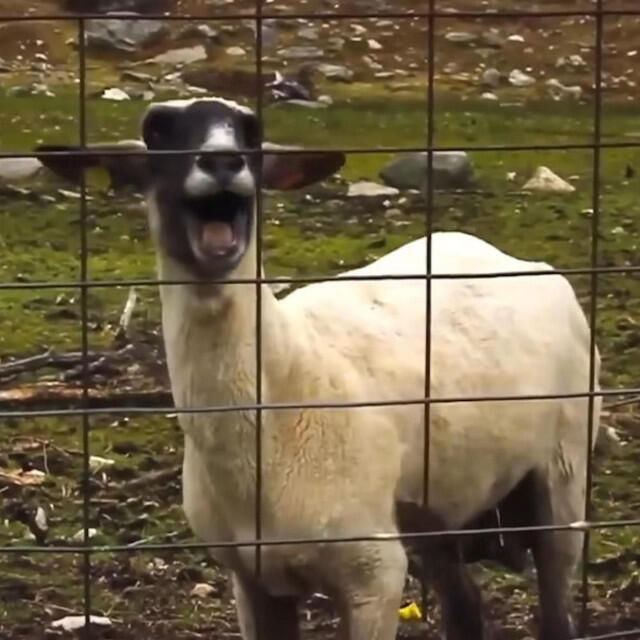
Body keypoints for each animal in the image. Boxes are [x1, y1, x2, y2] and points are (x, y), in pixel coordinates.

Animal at [37, 96, 601, 640]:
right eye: (157, 130)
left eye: (252, 131)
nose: (222, 162)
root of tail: (518, 260)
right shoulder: (252, 580)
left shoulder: (373, 572)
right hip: (434, 507)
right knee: (466, 607)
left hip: (563, 471)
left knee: (555, 610)